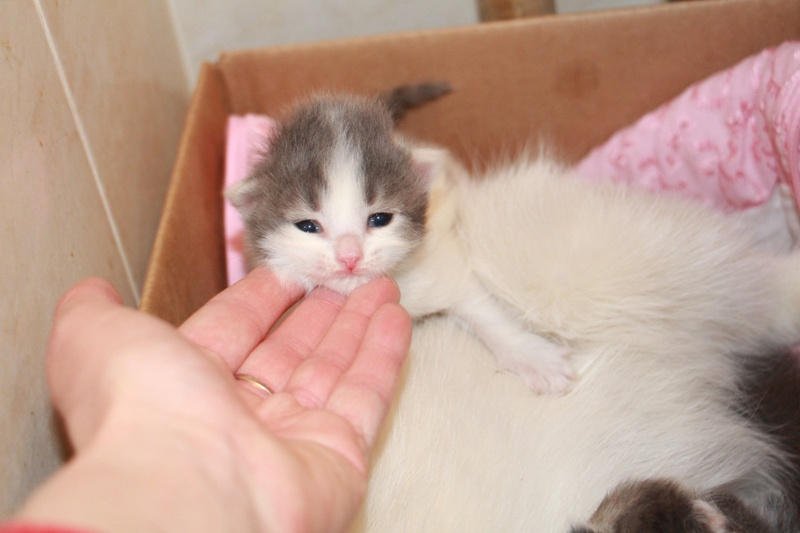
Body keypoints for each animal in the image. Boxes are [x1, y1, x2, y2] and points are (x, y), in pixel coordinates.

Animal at [227, 87, 800, 530]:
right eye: (308, 226)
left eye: (379, 218)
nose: (349, 257)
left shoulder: (444, 266)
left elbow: (479, 306)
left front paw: (535, 359)